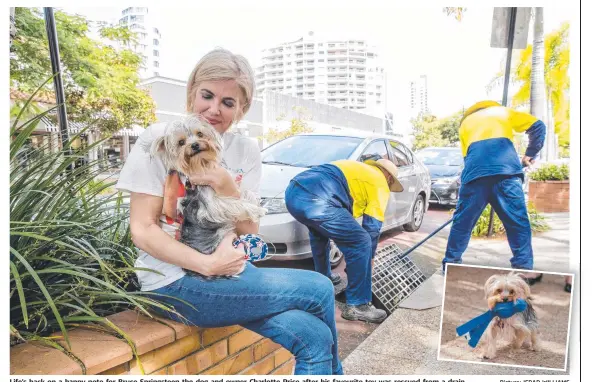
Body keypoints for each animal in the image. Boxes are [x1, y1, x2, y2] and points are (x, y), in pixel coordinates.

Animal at [149, 114, 268, 272]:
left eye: (200, 134)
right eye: (181, 142)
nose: (194, 145)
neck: (201, 164)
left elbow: (241, 193)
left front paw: (253, 199)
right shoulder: (211, 207)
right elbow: (234, 204)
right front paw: (257, 209)